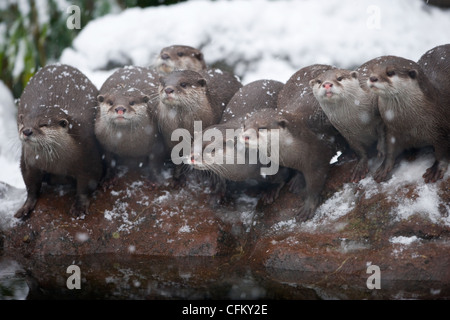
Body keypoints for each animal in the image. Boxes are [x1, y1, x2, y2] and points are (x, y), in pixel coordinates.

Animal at [15, 63, 103, 219]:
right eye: (23, 123)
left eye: (43, 124)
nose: (27, 131)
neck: (56, 164)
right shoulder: (28, 161)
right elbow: (30, 185)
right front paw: (25, 207)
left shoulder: (89, 156)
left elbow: (87, 184)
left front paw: (79, 206)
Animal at [243, 65, 344, 222]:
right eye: (244, 126)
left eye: (262, 128)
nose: (245, 136)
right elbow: (278, 173)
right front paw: (272, 189)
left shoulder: (317, 156)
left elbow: (315, 183)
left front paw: (308, 206)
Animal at [366, 48, 450, 182]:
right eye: (372, 71)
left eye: (390, 72)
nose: (373, 78)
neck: (409, 124)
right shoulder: (392, 130)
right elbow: (390, 148)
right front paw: (384, 166)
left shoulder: (440, 128)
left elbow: (442, 150)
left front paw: (436, 169)